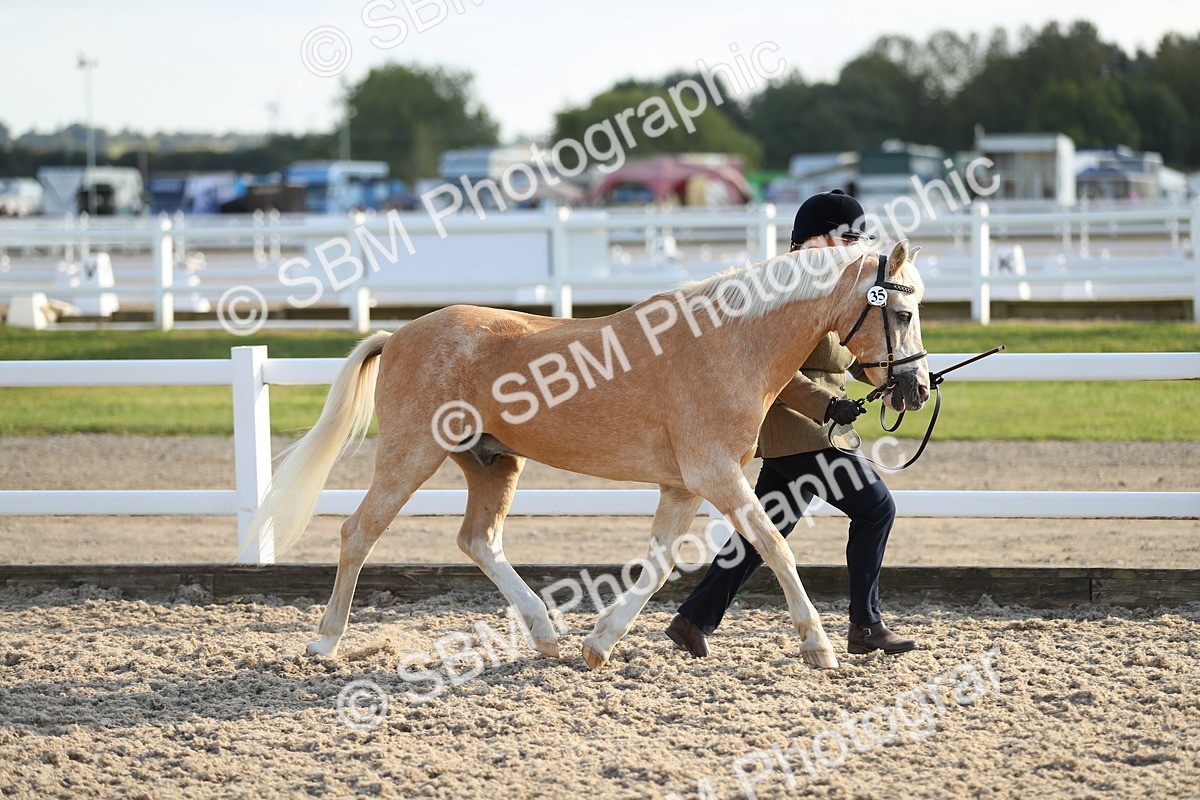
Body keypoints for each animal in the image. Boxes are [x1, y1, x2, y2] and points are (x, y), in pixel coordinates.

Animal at [242, 239, 929, 671]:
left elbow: (659, 566)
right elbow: (774, 548)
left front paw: (599, 645)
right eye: (901, 310)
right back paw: (324, 644)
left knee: (477, 541)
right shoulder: (715, 475)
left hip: (493, 463)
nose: (916, 388)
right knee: (359, 532)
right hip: (411, 455)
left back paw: (547, 634)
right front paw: (819, 646)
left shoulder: (684, 485)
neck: (730, 342)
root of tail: (399, 334)